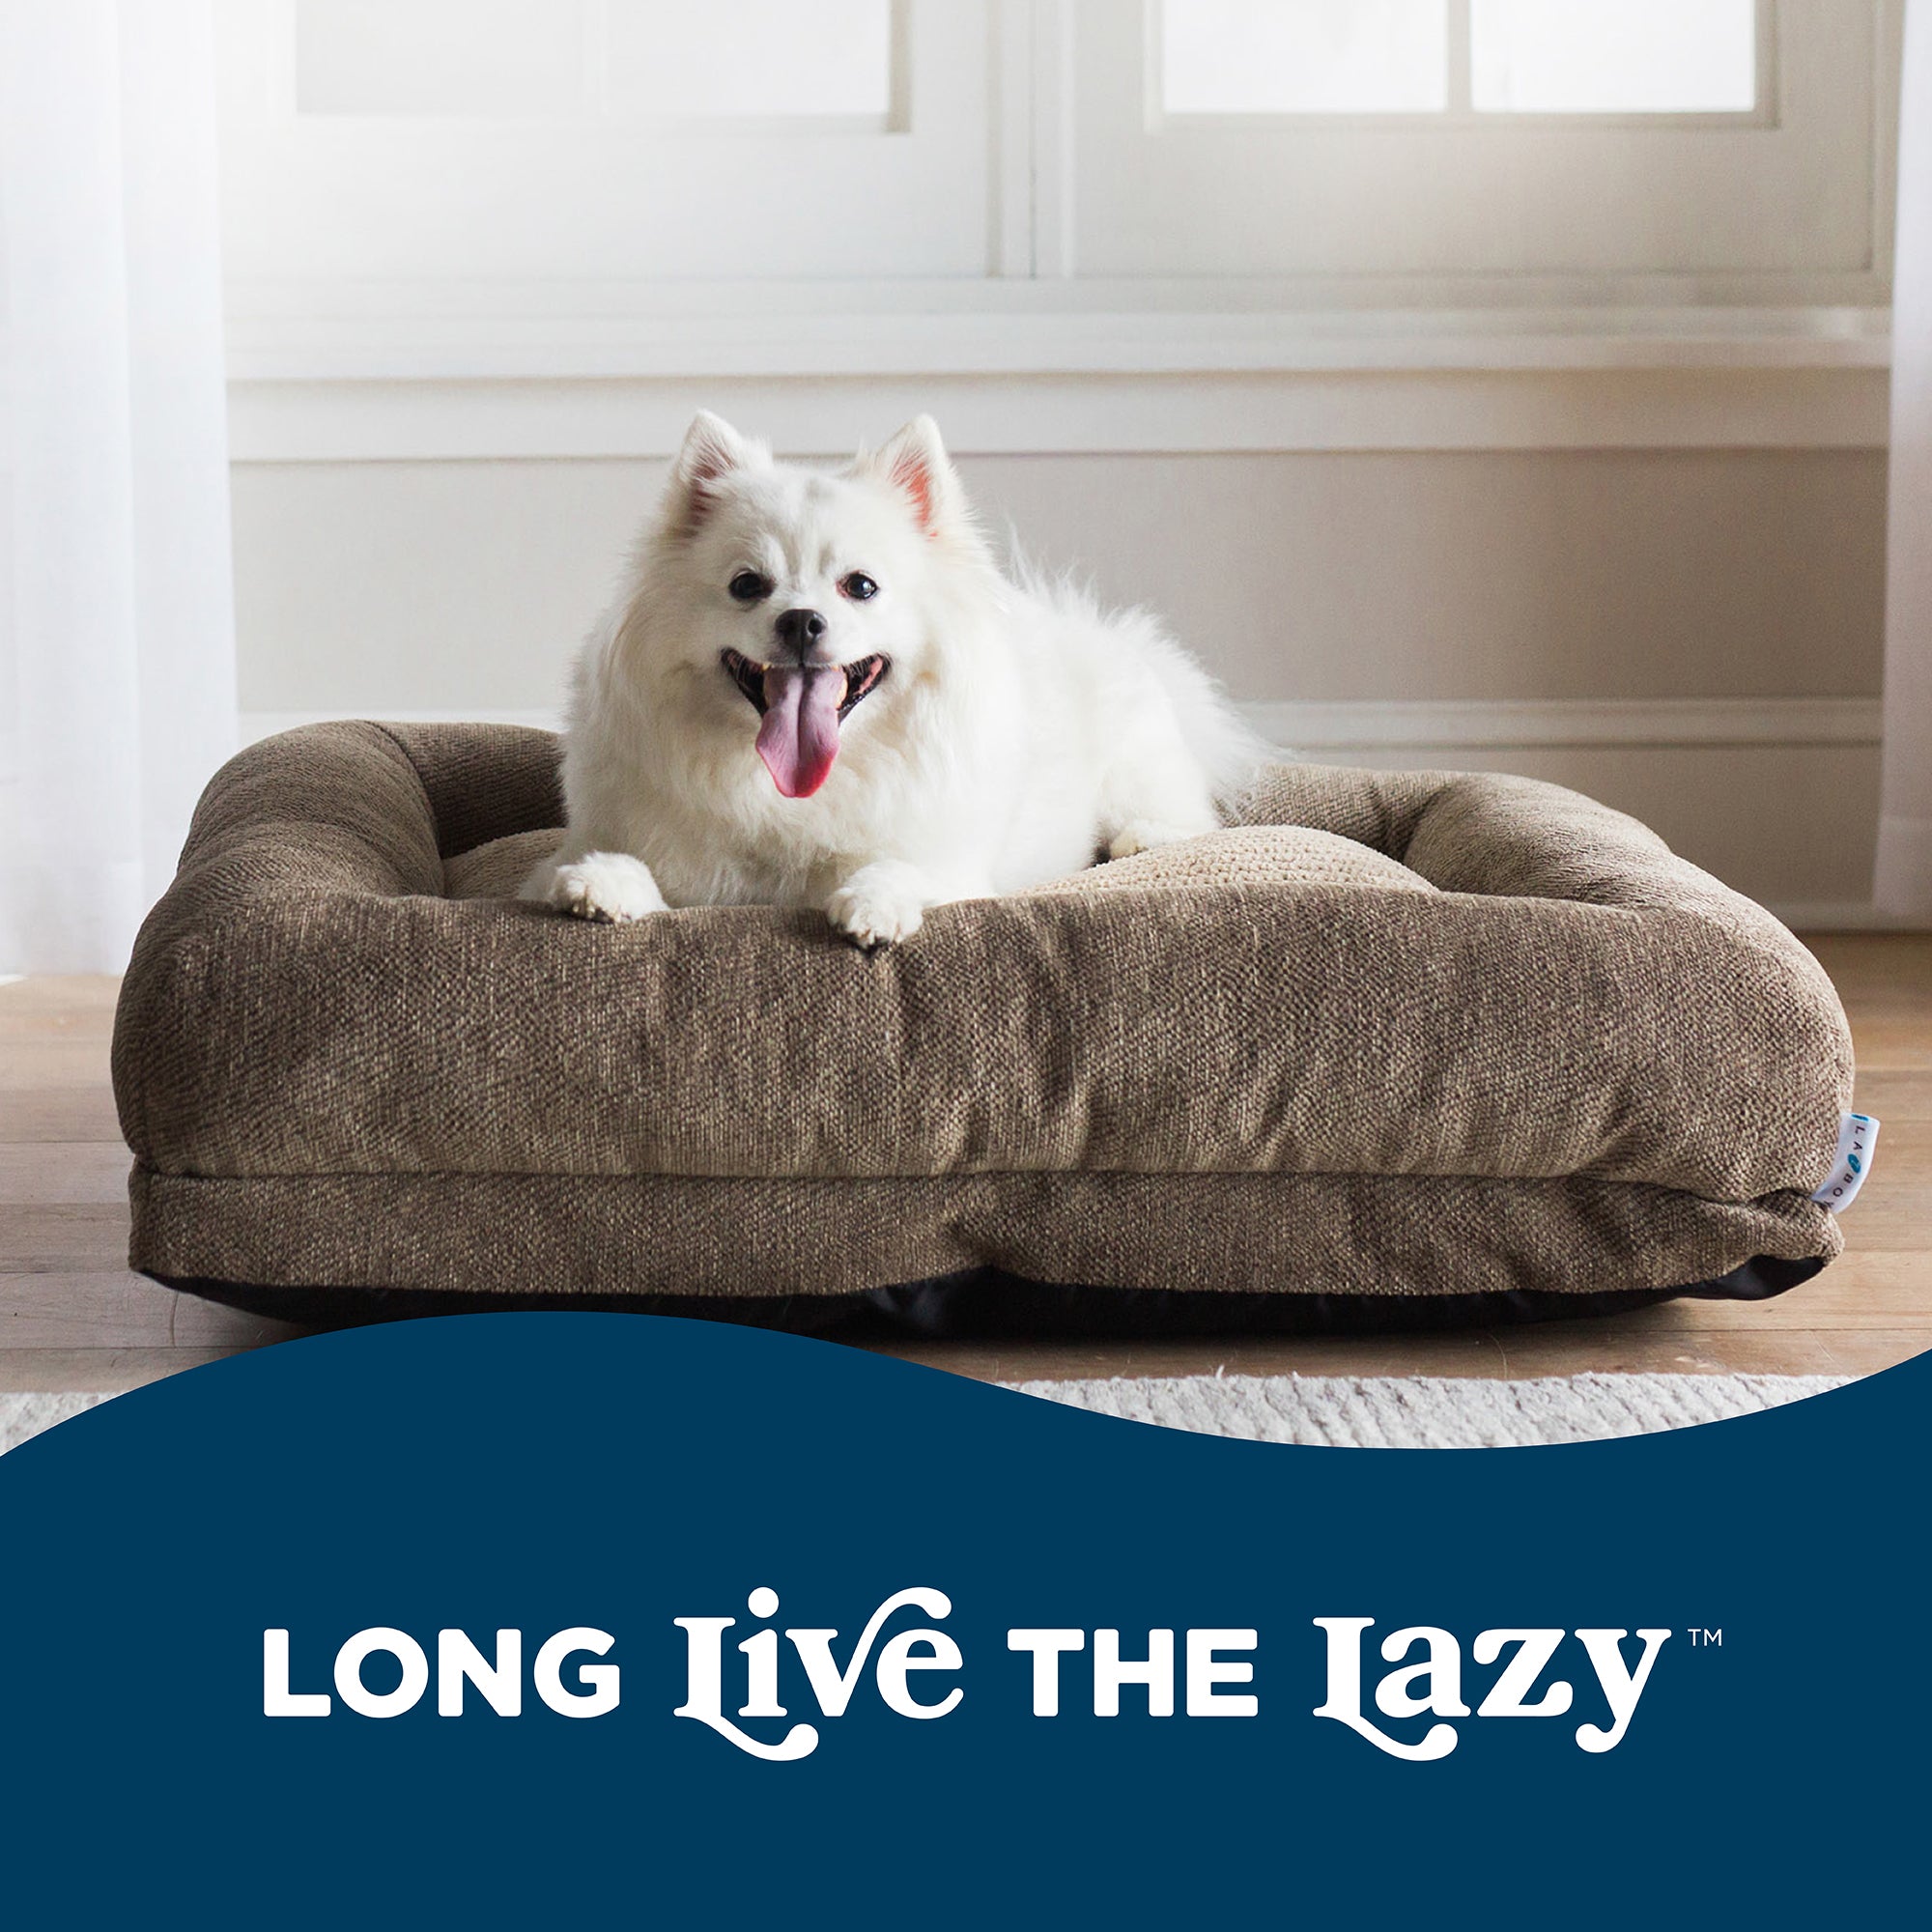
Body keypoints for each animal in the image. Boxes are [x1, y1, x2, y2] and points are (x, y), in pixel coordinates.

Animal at [522, 412, 1260, 947]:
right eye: (747, 585)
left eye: (861, 586)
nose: (801, 621)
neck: (789, 793)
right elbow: (610, 866)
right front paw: (602, 885)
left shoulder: (950, 865)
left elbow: (903, 869)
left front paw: (876, 904)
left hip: (1140, 770)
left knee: (1187, 818)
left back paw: (1144, 836)